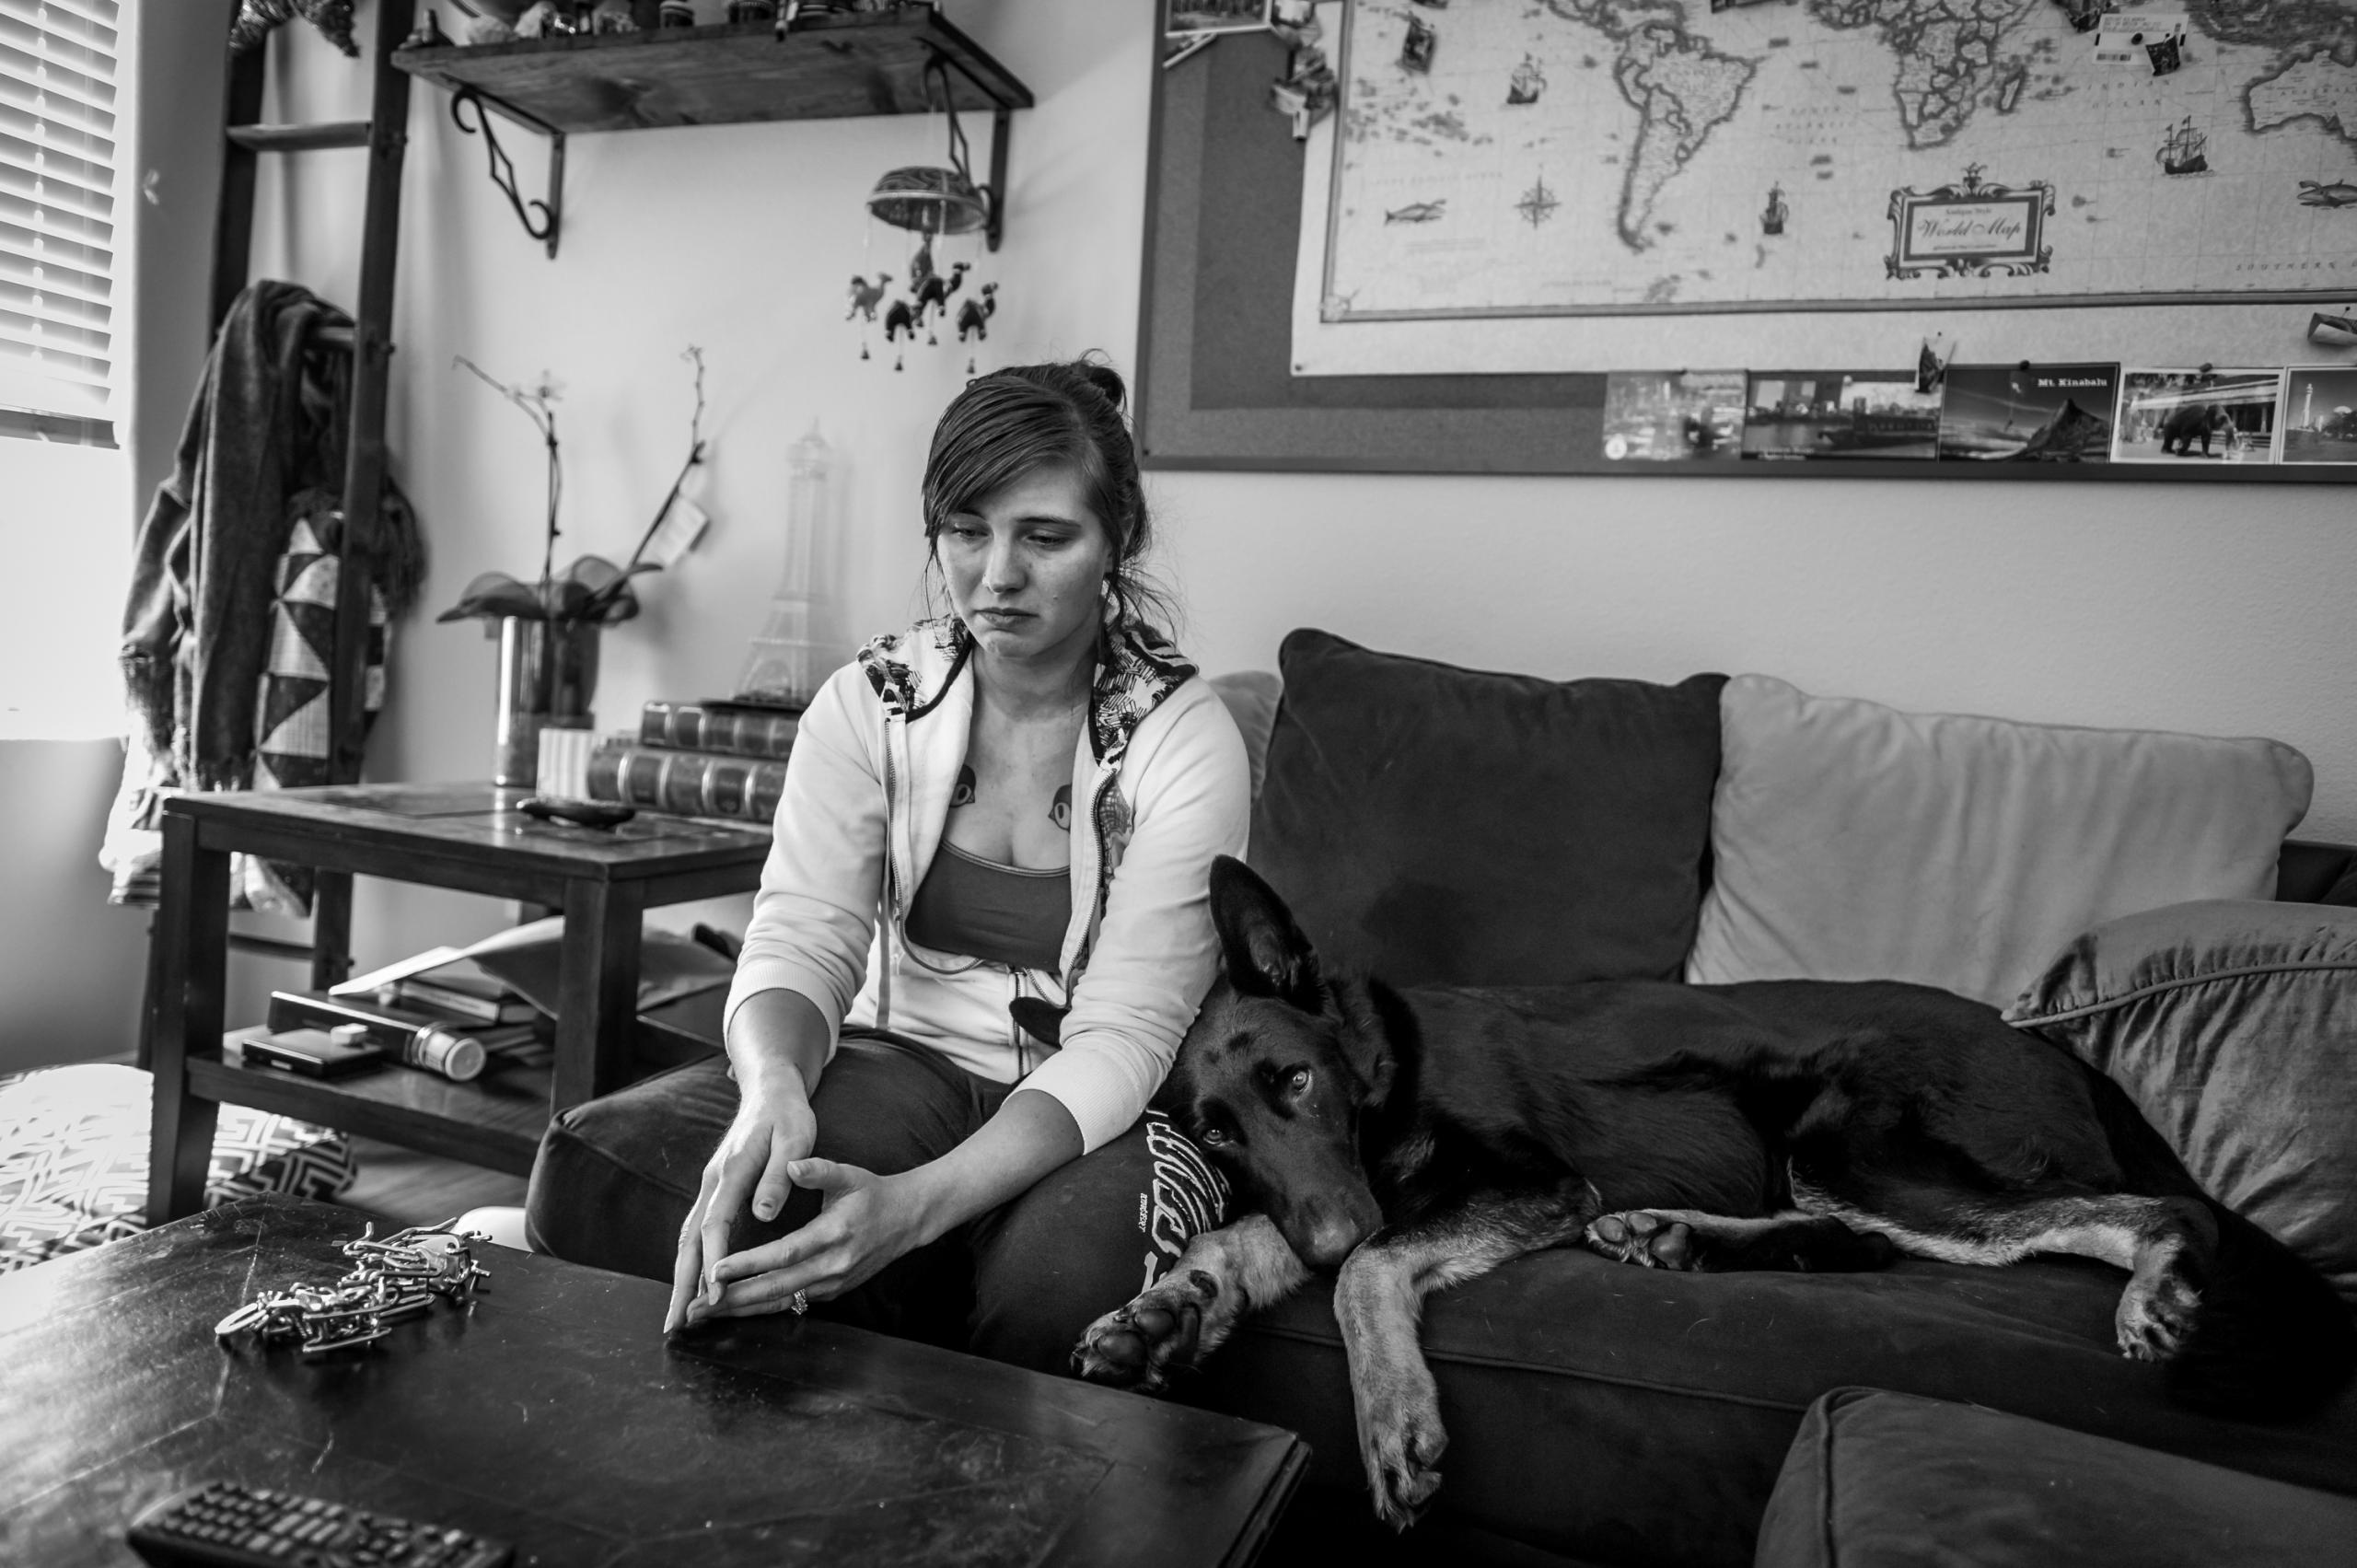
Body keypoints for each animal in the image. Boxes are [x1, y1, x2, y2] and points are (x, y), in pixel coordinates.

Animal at [1061, 858, 2357, 1527]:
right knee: (1873, 1250)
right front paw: (1169, 1307)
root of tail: (2064, 1049)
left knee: (2113, 1217)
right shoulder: (1363, 1191)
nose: (1326, 1227)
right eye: (1216, 1136)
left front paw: (1390, 1417)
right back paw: (1675, 1235)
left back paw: (2160, 1282)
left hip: (1845, 1128)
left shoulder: (1520, 1181)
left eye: (1295, 1079)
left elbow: (1368, 1266)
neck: (1380, 1066)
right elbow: (1274, 1239)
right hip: (1828, 1152)